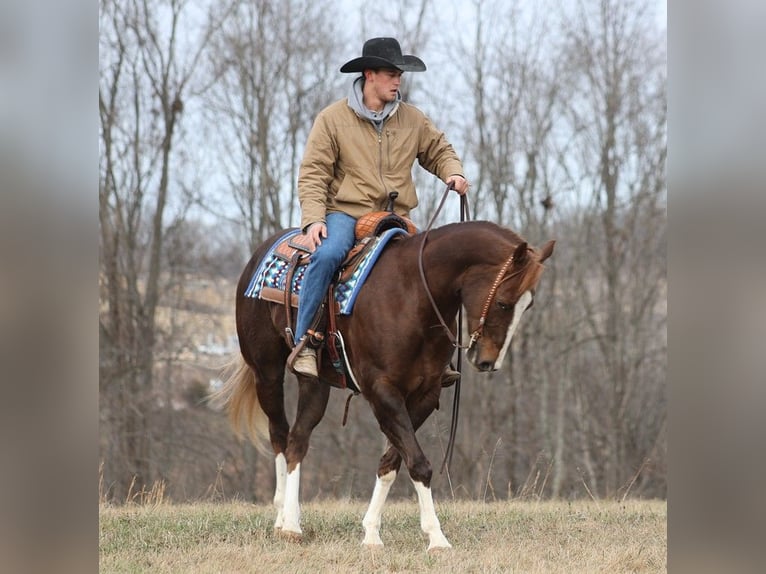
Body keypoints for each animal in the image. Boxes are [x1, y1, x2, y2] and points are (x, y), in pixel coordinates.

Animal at [213, 222, 556, 552]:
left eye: (528, 306)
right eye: (503, 303)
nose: (488, 362)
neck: (413, 296)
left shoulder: (424, 394)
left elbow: (392, 460)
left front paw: (372, 533)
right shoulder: (382, 392)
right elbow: (418, 463)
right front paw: (437, 538)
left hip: (315, 384)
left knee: (298, 439)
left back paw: (291, 519)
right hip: (267, 373)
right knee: (280, 435)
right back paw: (285, 520)